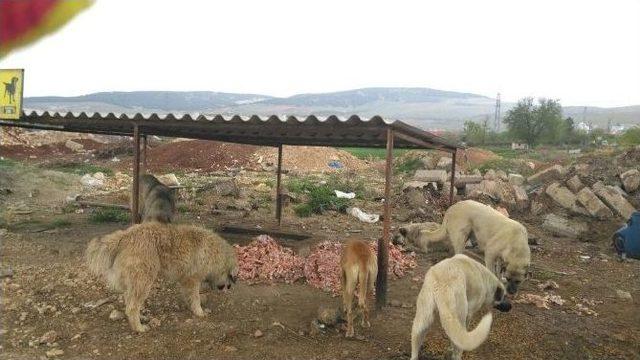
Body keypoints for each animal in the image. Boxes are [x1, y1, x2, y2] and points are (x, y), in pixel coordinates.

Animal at [86, 221, 239, 334]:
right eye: (230, 276)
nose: (229, 287)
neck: (215, 252)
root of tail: (125, 236)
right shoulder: (192, 279)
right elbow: (195, 298)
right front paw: (199, 312)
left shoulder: (185, 280)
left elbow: (190, 297)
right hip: (143, 281)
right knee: (132, 307)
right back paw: (139, 328)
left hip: (134, 283)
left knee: (130, 302)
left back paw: (141, 317)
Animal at [396, 200, 528, 296]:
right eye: (509, 278)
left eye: (518, 281)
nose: (511, 293)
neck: (516, 244)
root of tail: (451, 208)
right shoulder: (490, 254)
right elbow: (493, 271)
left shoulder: (500, 258)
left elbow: (499, 270)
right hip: (461, 236)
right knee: (457, 256)